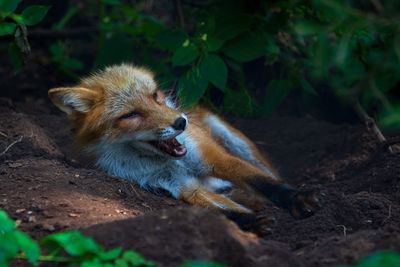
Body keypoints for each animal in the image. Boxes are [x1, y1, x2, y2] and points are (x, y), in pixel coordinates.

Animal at [48, 63, 320, 225]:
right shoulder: (181, 186)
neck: (169, 162)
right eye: (131, 115)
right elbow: (222, 213)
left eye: (155, 96)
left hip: (235, 142)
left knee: (267, 174)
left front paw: (295, 199)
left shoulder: (214, 158)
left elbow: (262, 182)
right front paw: (251, 223)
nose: (180, 122)